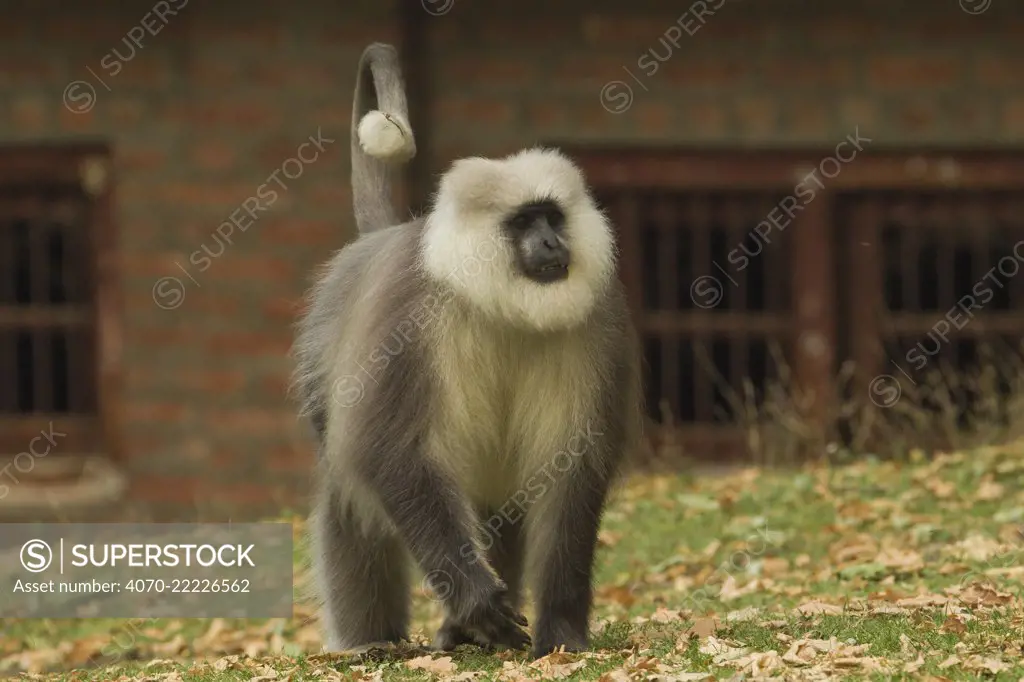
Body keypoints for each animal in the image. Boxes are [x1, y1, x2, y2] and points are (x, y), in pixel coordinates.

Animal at [290, 41, 638, 655]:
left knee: (501, 507)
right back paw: (372, 641)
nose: (551, 243)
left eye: (553, 216)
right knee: (352, 499)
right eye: (523, 223)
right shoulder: (407, 319)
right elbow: (389, 453)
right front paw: (478, 604)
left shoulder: (599, 323)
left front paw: (561, 633)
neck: (500, 305)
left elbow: (571, 470)